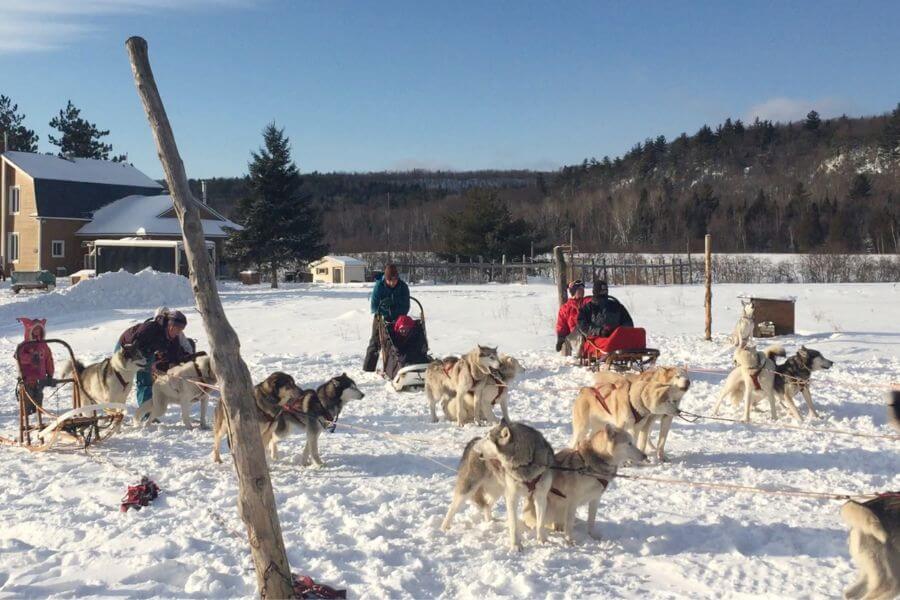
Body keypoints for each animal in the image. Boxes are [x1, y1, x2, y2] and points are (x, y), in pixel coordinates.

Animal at [442, 420, 556, 552]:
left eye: (488, 438)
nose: (476, 445)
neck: (527, 463)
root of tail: (472, 442)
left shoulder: (540, 496)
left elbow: (540, 522)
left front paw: (542, 540)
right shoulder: (512, 497)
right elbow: (513, 524)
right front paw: (515, 545)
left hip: (498, 490)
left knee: (487, 506)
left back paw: (490, 521)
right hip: (468, 489)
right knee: (452, 508)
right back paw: (444, 527)